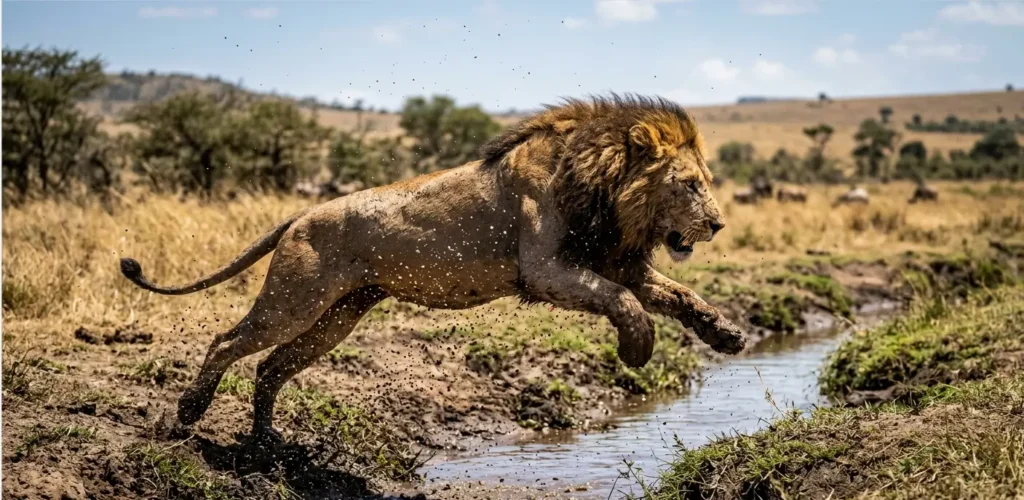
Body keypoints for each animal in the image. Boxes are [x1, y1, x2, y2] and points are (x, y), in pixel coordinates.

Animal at [119, 94, 747, 442]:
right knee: (227, 342)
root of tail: (301, 213)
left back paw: (267, 442)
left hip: (339, 314)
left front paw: (727, 334)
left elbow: (678, 294)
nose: (718, 224)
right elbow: (625, 302)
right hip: (294, 300)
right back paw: (189, 412)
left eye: (707, 183)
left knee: (272, 366)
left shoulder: (612, 261)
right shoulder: (546, 269)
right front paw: (637, 347)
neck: (604, 186)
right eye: (691, 185)